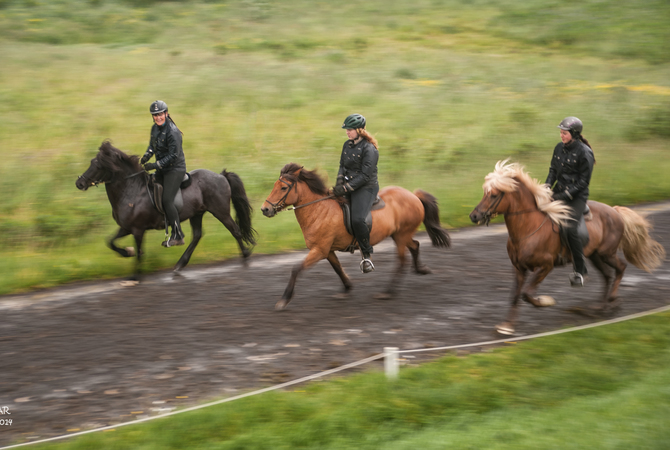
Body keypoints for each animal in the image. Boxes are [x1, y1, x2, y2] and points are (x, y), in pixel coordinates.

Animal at [76, 141, 258, 282]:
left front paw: (135, 276)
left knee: (235, 230)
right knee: (197, 235)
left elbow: (139, 252)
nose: (79, 183)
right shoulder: (126, 228)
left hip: (220, 211)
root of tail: (221, 176)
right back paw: (179, 265)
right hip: (197, 214)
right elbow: (110, 242)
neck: (132, 190)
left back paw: (245, 255)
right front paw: (127, 252)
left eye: (98, 165)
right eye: (92, 162)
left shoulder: (138, 229)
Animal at [262, 163, 452, 312]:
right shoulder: (328, 251)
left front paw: (284, 300)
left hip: (401, 236)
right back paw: (421, 269)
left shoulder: (319, 250)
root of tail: (414, 195)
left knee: (402, 261)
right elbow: (338, 268)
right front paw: (347, 288)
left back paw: (388, 292)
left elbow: (296, 269)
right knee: (415, 245)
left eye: (283, 188)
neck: (319, 210)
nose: (265, 209)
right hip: (400, 234)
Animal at [472, 161, 668, 334]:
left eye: (494, 194)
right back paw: (601, 306)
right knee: (607, 275)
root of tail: (615, 211)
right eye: (484, 192)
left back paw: (612, 301)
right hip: (594, 255)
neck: (527, 230)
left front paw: (544, 301)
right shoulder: (519, 268)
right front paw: (507, 326)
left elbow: (527, 293)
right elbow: (515, 296)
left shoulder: (546, 266)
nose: (474, 216)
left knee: (621, 267)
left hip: (607, 253)